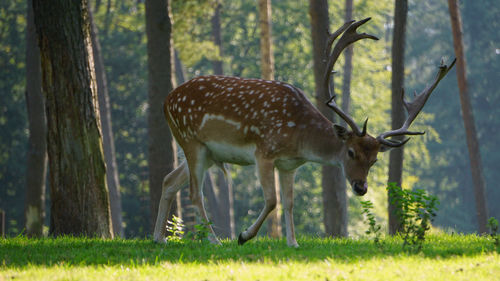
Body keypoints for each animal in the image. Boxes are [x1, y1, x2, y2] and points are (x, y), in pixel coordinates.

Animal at [154, 17, 456, 246]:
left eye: (375, 159)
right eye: (350, 152)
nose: (361, 188)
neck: (298, 139)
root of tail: (166, 101)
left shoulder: (289, 165)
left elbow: (289, 203)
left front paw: (293, 243)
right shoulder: (264, 152)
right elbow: (272, 200)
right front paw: (243, 235)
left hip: (203, 151)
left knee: (169, 180)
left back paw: (160, 238)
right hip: (191, 141)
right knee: (195, 193)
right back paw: (215, 241)